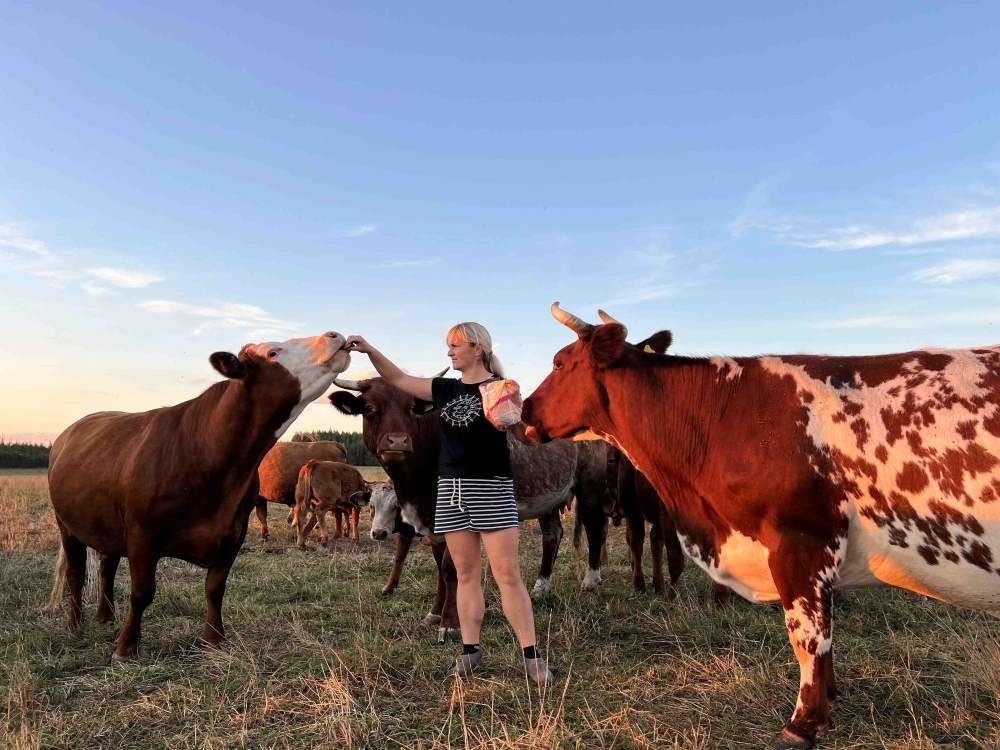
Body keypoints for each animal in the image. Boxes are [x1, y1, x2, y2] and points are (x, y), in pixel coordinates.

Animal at [46, 332, 352, 660]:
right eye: (273, 352)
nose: (334, 335)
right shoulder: (142, 534)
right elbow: (142, 592)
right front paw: (126, 645)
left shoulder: (233, 532)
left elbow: (215, 588)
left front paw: (214, 638)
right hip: (67, 524)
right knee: (76, 573)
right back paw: (75, 623)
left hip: (108, 525)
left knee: (106, 566)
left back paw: (105, 615)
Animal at [520, 306, 1000, 750]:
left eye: (559, 362)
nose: (523, 408)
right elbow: (824, 637)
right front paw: (828, 704)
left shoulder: (801, 543)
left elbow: (808, 636)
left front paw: (802, 724)